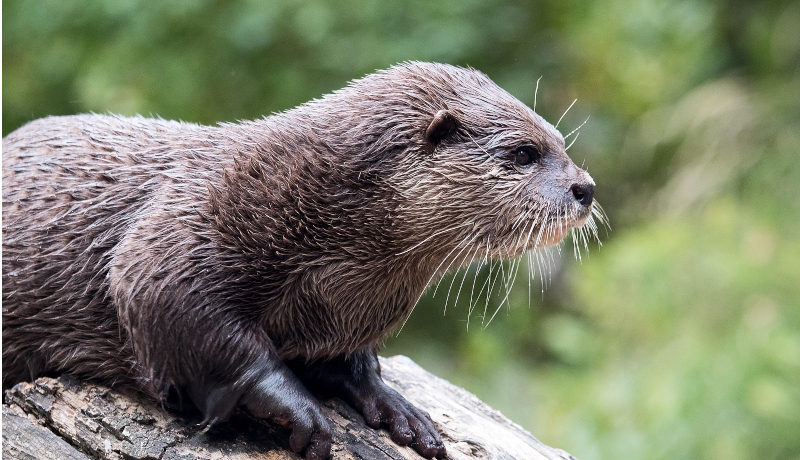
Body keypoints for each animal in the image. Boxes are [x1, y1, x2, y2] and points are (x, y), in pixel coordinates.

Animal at [2, 62, 597, 460]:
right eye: (524, 153)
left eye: (561, 143)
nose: (585, 187)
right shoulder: (177, 237)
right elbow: (176, 307)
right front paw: (296, 406)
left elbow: (348, 361)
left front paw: (393, 404)